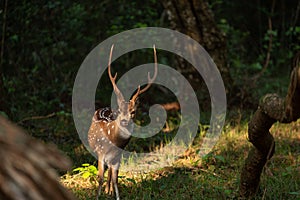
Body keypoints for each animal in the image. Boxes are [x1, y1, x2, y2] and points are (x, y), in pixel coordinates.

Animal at [88, 44, 158, 199]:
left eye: (133, 111)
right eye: (120, 111)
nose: (125, 121)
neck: (113, 142)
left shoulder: (118, 156)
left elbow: (115, 178)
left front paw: (115, 195)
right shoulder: (101, 153)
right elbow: (99, 177)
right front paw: (97, 196)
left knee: (111, 172)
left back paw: (108, 191)